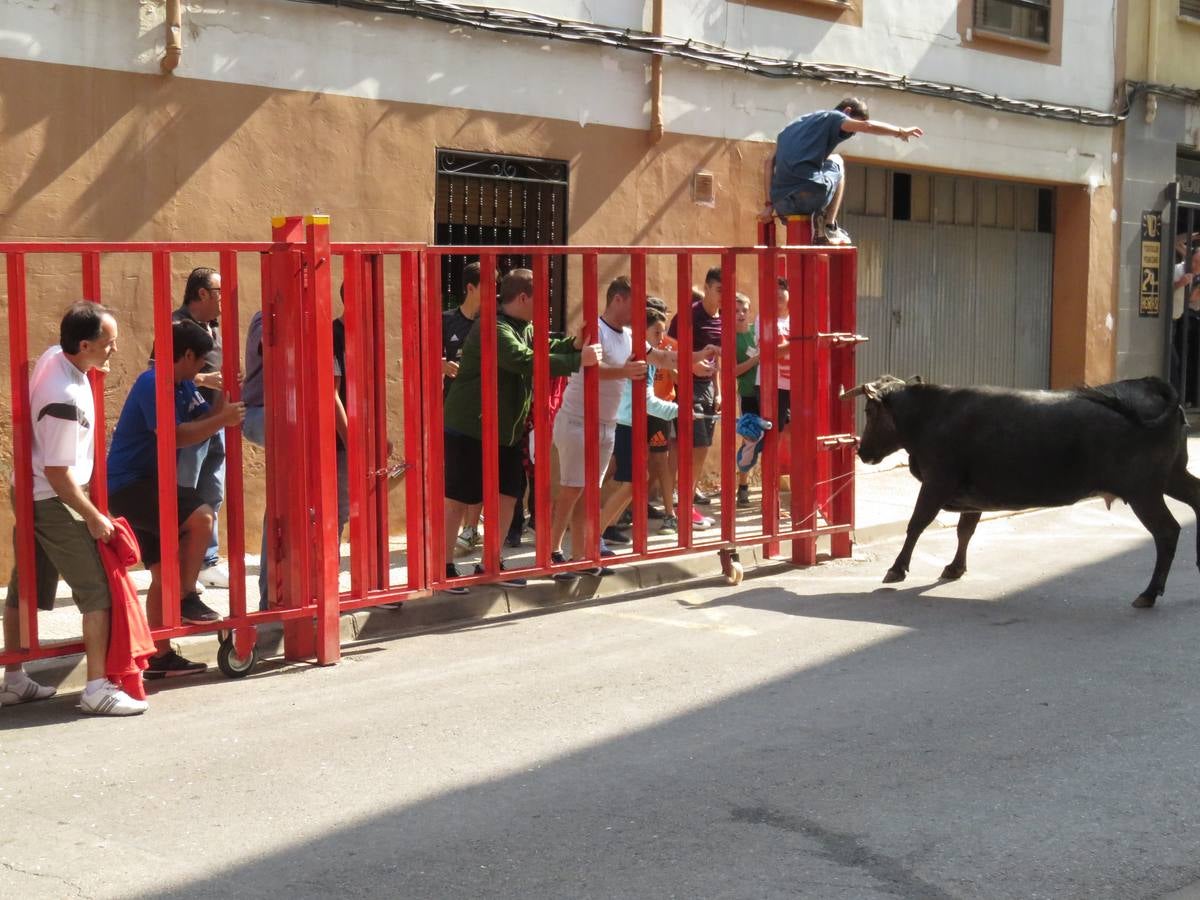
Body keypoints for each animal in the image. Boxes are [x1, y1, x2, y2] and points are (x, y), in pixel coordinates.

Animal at [849, 376, 1200, 609]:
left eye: (869, 412)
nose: (861, 452)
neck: (931, 414)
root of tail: (1151, 386)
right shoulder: (972, 494)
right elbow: (965, 530)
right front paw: (955, 568)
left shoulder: (937, 482)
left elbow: (917, 523)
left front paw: (896, 569)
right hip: (1172, 477)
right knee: (1195, 501)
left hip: (1144, 491)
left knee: (1167, 531)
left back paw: (1149, 593)